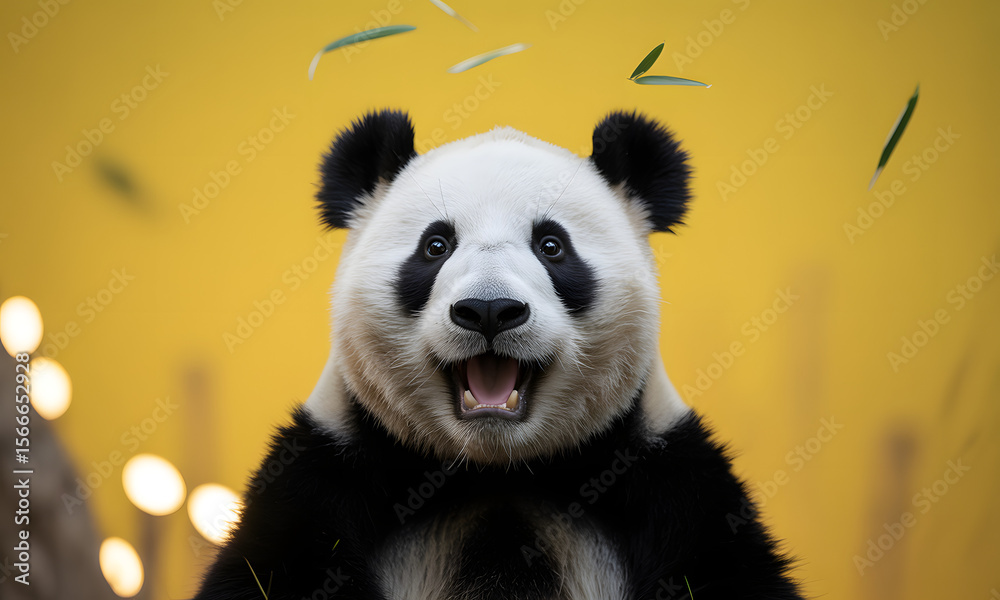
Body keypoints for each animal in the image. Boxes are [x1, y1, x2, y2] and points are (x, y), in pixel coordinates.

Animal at [194, 110, 804, 600]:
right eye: (435, 245)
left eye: (552, 246)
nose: (489, 310)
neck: (495, 468)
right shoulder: (323, 476)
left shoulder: (674, 487)